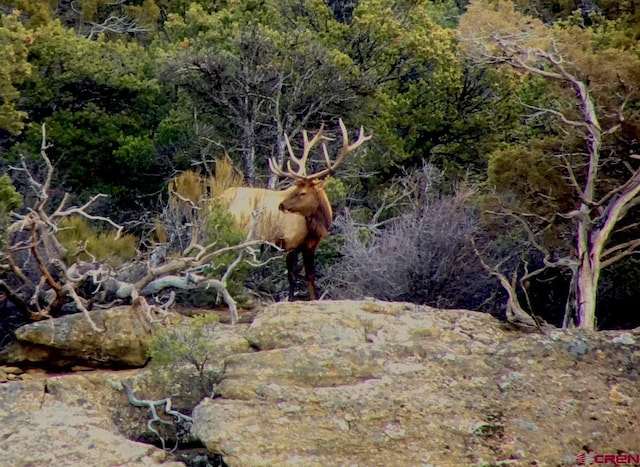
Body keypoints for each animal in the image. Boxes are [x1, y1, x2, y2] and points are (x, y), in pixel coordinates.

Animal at [220, 117, 372, 300]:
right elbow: (292, 276)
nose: (281, 205)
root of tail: (215, 200)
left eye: (302, 192)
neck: (316, 227)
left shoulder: (310, 246)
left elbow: (310, 276)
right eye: (294, 189)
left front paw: (313, 299)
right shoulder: (290, 241)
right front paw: (291, 299)